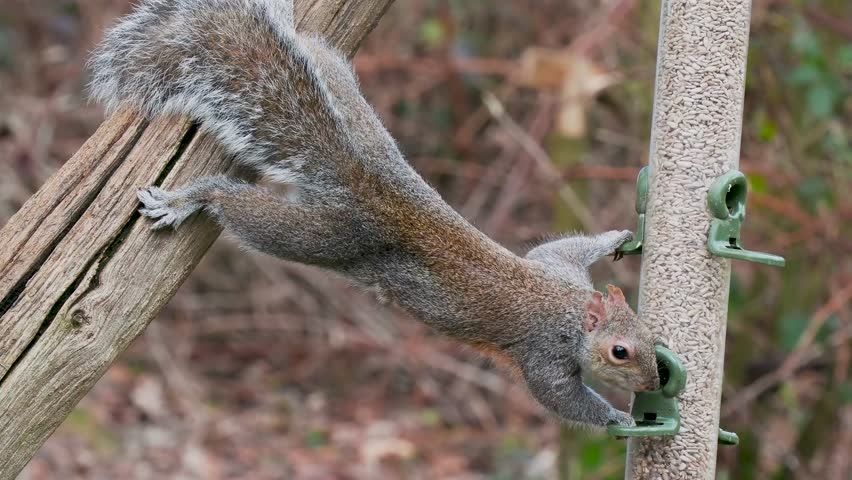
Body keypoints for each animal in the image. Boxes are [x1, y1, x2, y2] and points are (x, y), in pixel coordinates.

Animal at [89, 0, 659, 429]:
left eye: (656, 342)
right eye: (621, 353)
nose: (655, 385)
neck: (573, 309)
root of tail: (364, 181)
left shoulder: (556, 267)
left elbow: (557, 247)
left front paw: (614, 237)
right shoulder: (545, 355)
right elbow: (559, 398)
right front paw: (617, 419)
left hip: (354, 110)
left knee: (321, 61)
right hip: (318, 234)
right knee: (238, 208)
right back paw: (187, 199)